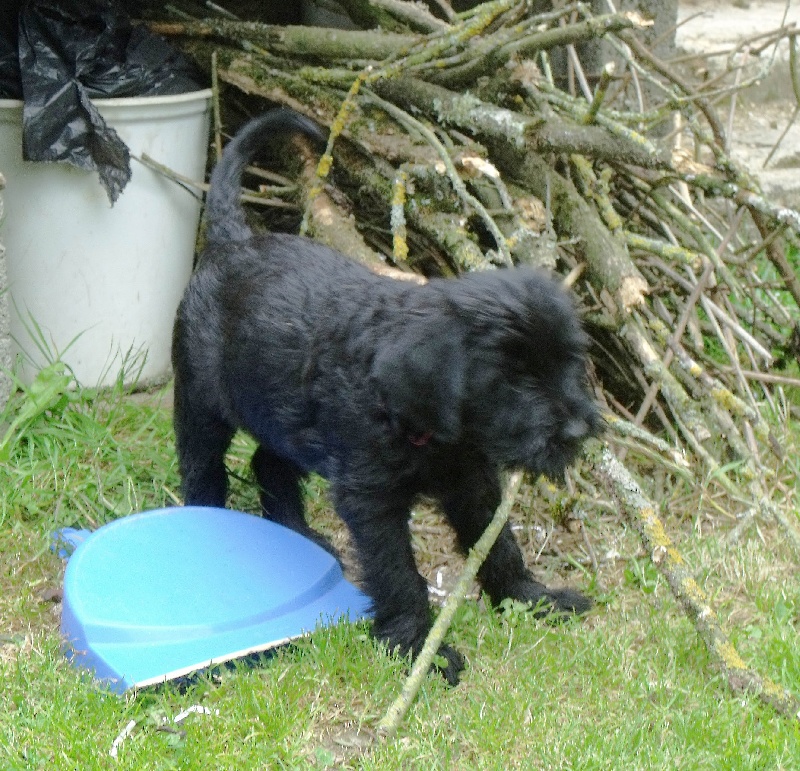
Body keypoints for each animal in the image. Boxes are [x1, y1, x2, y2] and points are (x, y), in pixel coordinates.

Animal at [172, 109, 601, 685]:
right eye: (514, 379)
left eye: (569, 361)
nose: (577, 429)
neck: (419, 415)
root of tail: (230, 241)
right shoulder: (371, 497)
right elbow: (399, 571)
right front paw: (419, 645)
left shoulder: (472, 483)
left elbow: (499, 544)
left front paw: (530, 598)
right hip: (202, 406)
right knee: (204, 468)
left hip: (285, 415)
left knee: (270, 464)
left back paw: (299, 534)